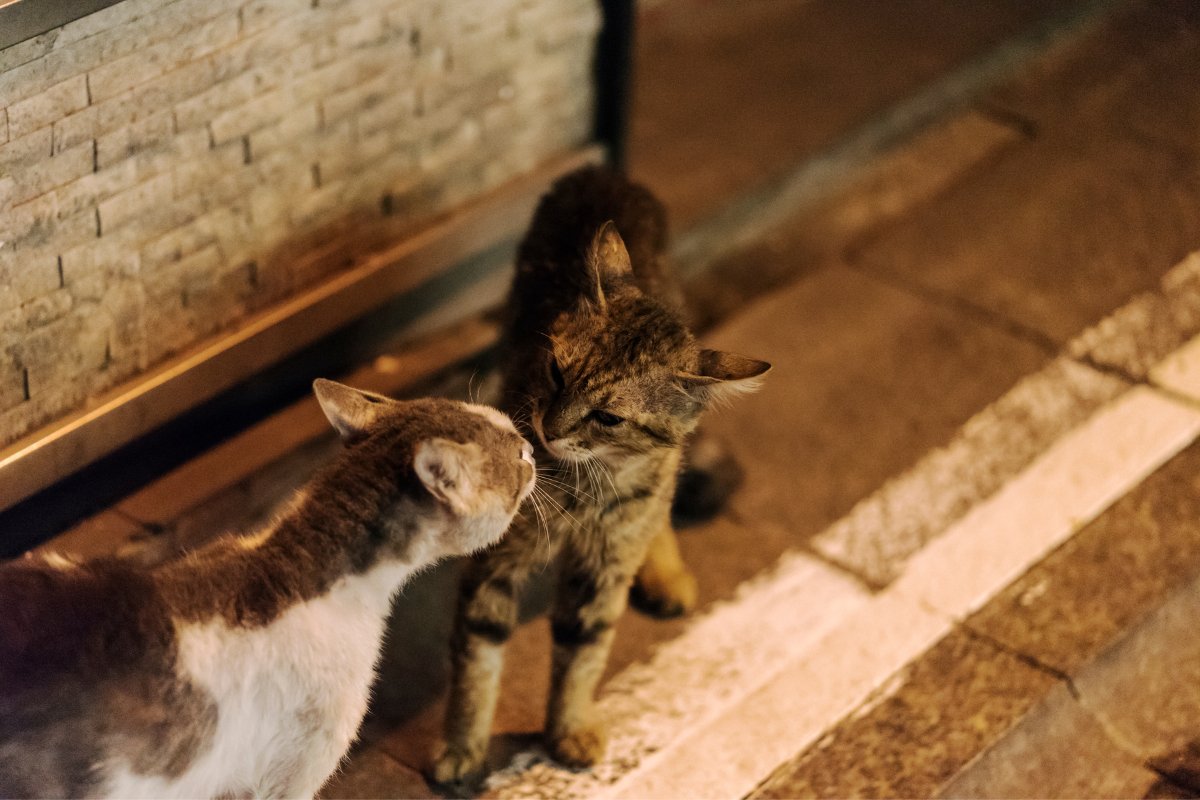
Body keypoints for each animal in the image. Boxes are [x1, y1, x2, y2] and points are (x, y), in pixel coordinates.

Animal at [434, 165, 768, 786]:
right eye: (555, 371)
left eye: (608, 417)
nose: (547, 425)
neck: (586, 486)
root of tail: (601, 171)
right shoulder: (497, 564)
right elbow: (477, 658)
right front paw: (462, 746)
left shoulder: (601, 569)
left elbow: (582, 655)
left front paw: (568, 728)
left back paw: (664, 570)